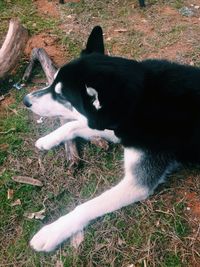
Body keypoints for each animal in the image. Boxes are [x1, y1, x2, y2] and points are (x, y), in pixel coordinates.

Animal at [23, 26, 200, 252]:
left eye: (61, 96)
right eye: (52, 82)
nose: (25, 100)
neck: (139, 100)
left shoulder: (137, 182)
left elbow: (86, 206)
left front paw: (52, 231)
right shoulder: (115, 128)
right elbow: (74, 124)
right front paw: (48, 139)